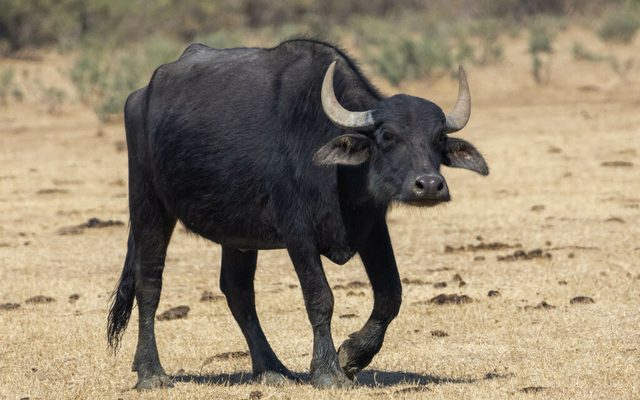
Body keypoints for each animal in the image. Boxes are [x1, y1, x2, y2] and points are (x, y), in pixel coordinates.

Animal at [107, 38, 488, 389]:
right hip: (148, 204)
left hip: (238, 234)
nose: (429, 185)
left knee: (238, 291)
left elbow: (390, 294)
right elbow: (320, 297)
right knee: (149, 282)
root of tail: (141, 95)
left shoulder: (372, 226)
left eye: (437, 138)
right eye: (387, 135)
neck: (336, 174)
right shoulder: (297, 231)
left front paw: (352, 355)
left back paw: (271, 368)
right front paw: (328, 370)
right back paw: (151, 373)